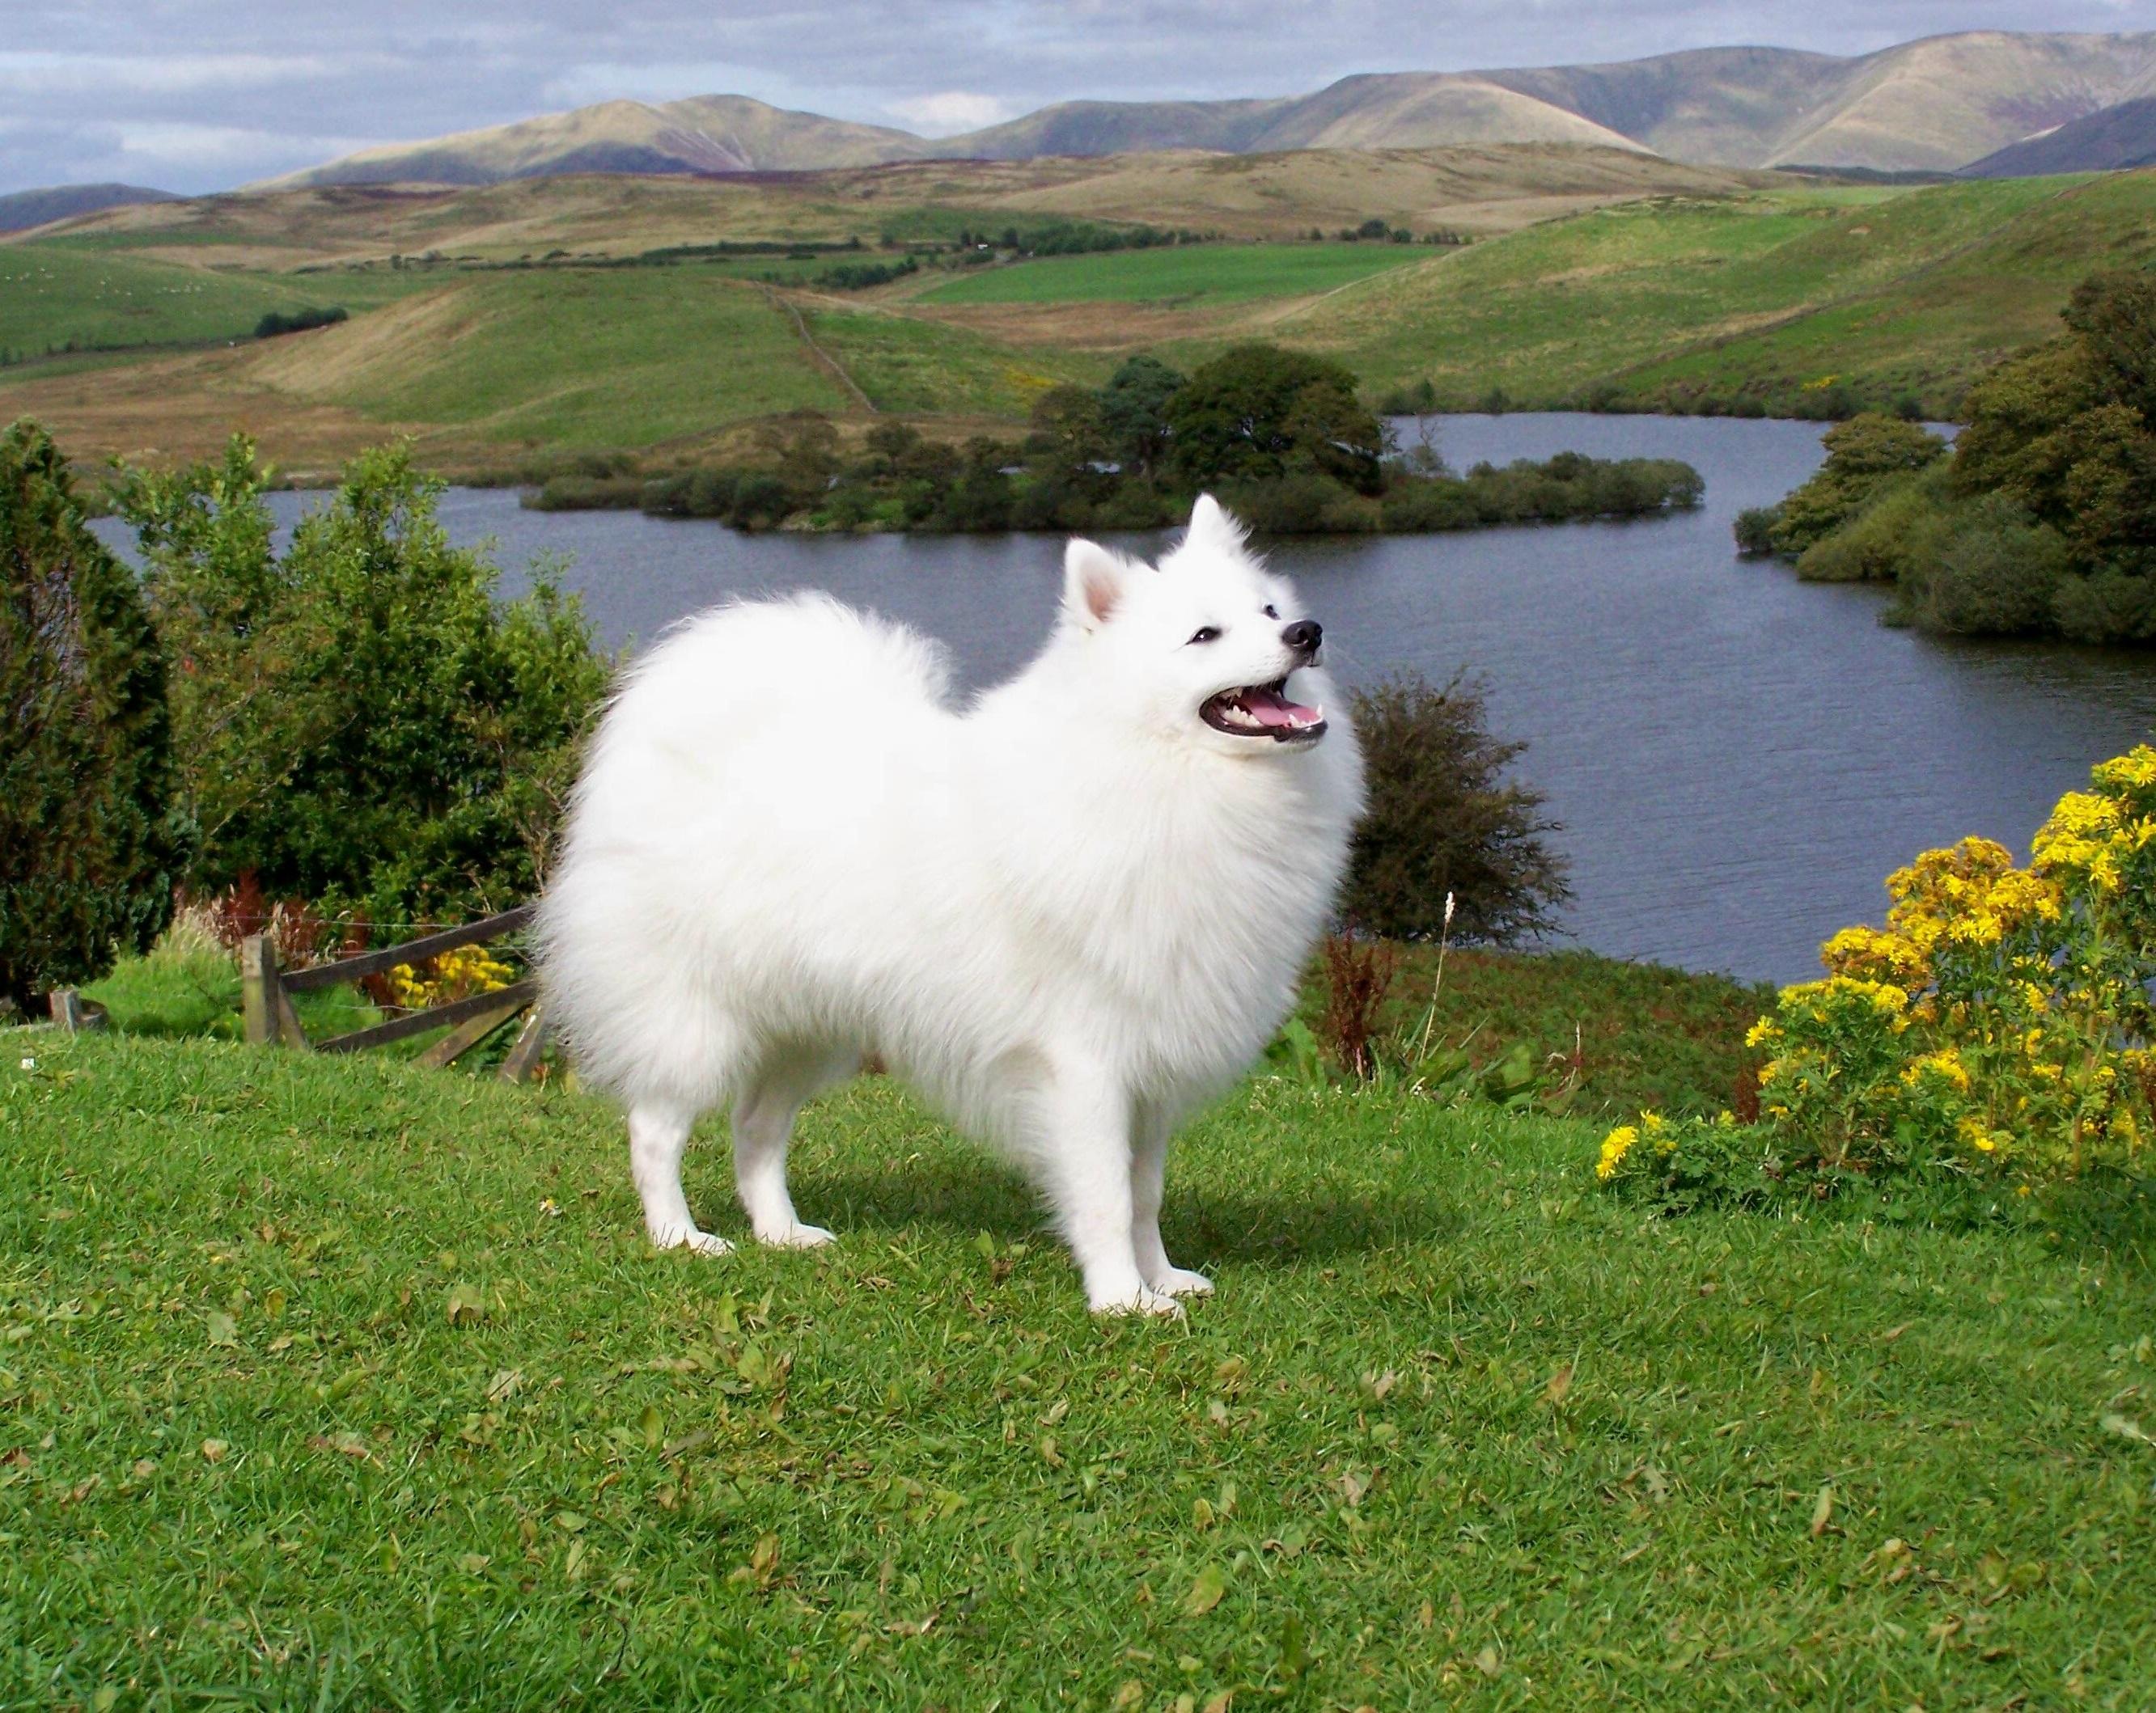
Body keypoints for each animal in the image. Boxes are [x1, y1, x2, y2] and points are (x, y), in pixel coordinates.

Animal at [532, 493, 1353, 1309]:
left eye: (1270, 609)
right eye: (1204, 635)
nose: (1307, 632)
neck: (1150, 775)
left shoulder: (1152, 1068)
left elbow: (1144, 1195)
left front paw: (1163, 1280)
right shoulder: (1085, 1064)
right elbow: (1105, 1197)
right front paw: (1121, 1301)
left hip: (805, 1030)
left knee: (756, 1129)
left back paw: (782, 1232)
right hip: (697, 1023)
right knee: (654, 1130)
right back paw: (681, 1237)